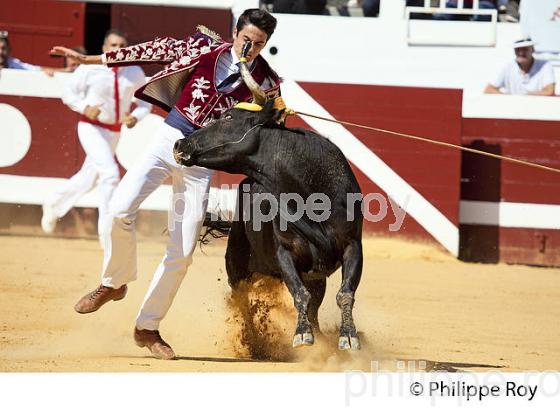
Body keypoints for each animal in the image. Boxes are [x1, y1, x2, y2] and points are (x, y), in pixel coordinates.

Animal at [173, 54, 364, 350]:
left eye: (228, 117)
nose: (180, 145)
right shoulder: (285, 253)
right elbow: (299, 294)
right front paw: (302, 335)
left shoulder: (352, 245)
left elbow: (344, 293)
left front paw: (348, 336)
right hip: (236, 263)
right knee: (241, 299)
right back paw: (255, 344)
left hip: (313, 275)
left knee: (315, 304)